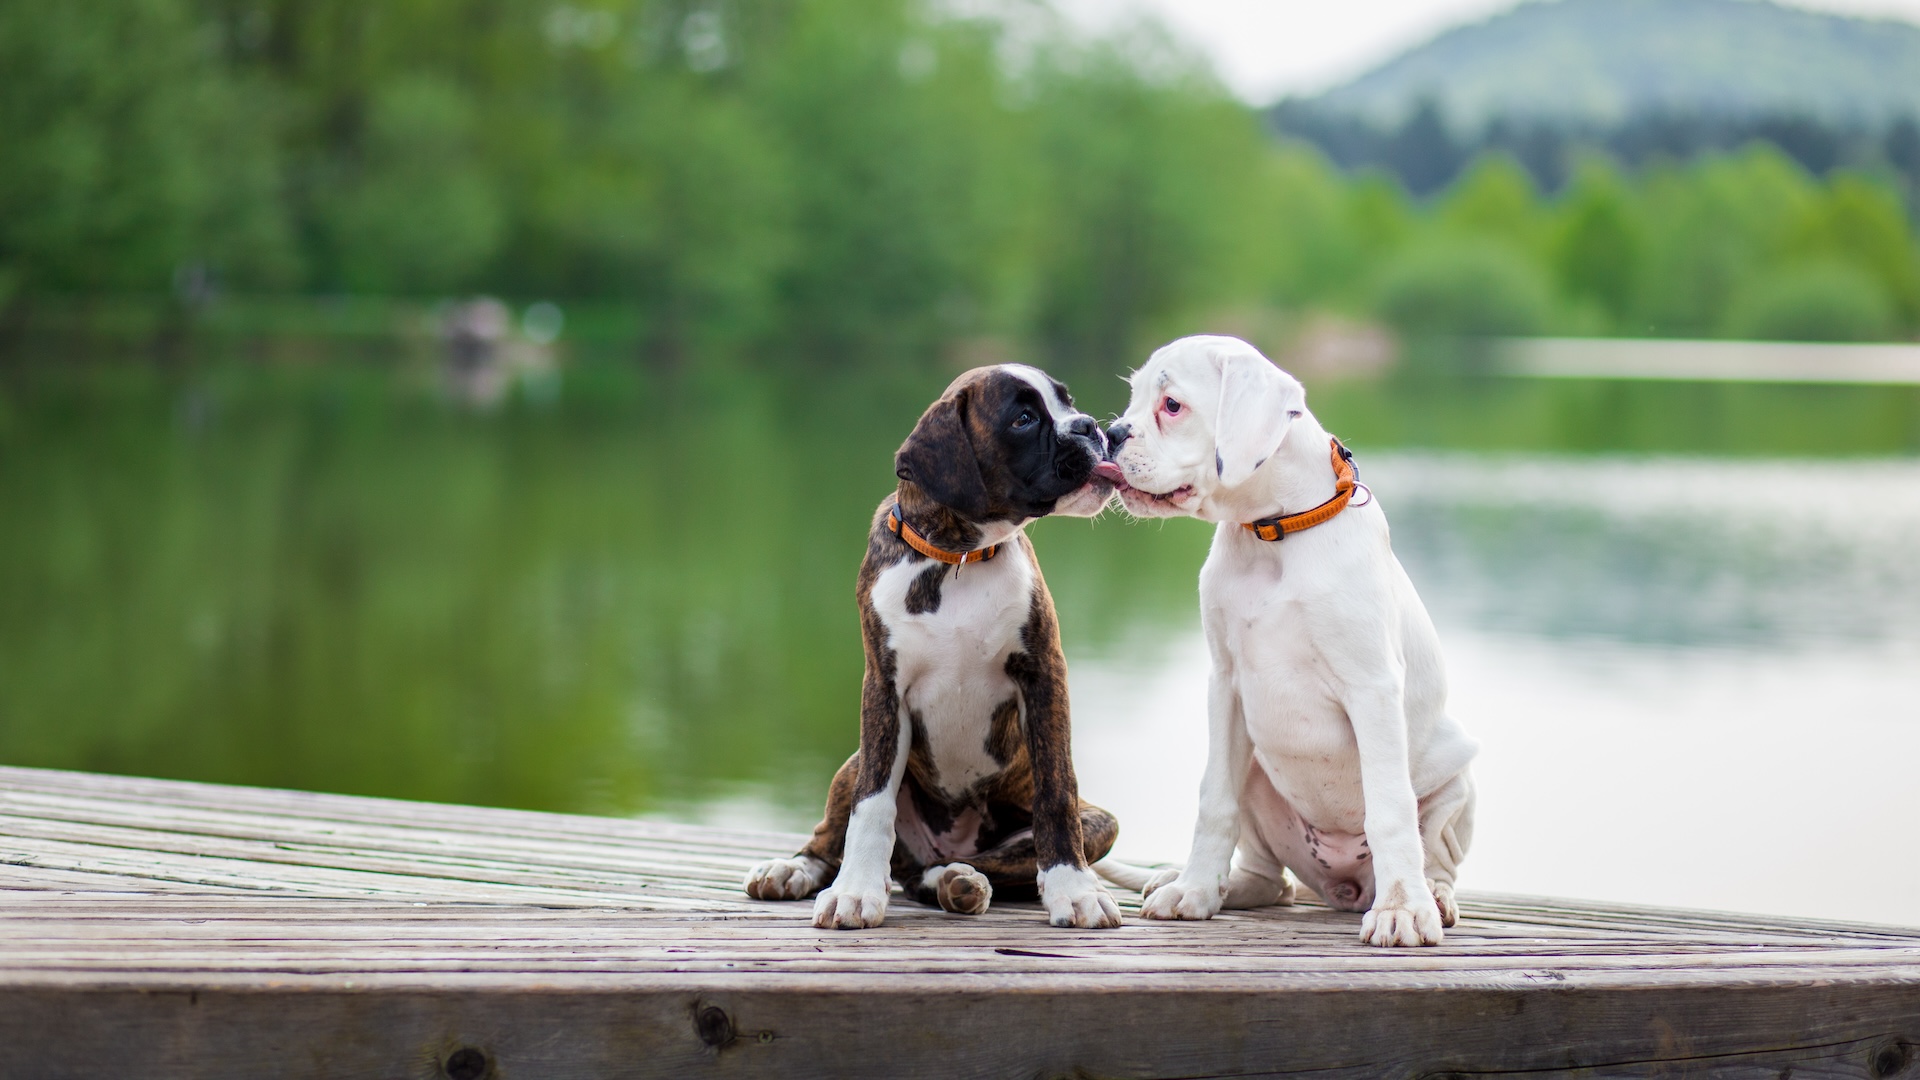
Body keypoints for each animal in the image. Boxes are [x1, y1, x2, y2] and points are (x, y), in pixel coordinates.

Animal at [737, 361, 1121, 926]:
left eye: (1068, 402)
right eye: (1024, 419)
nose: (1094, 427)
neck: (960, 555)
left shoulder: (1044, 676)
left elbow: (1057, 792)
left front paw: (1074, 891)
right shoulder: (883, 689)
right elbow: (872, 804)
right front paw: (856, 891)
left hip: (1098, 823)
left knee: (968, 865)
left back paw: (960, 881)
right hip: (851, 762)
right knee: (832, 837)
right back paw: (793, 870)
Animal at [1090, 334, 1474, 941]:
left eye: (1172, 405)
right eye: (1133, 398)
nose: (1112, 433)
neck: (1273, 532)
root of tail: (1341, 885)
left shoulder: (1372, 688)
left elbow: (1389, 808)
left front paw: (1401, 911)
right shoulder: (1225, 686)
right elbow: (1212, 800)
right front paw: (1194, 891)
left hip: (1458, 778)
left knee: (1434, 853)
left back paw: (1429, 896)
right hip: (1256, 774)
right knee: (1271, 879)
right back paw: (1212, 886)